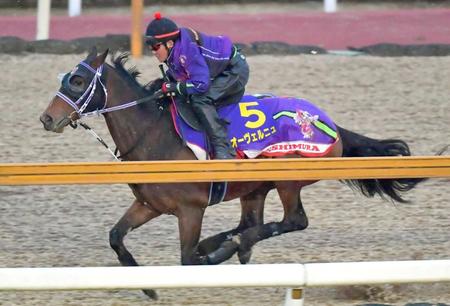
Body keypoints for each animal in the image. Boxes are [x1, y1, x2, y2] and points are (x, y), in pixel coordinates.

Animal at [39, 47, 426, 298]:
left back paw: (230, 247)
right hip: (255, 188)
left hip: (288, 179)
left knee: (292, 221)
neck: (154, 133)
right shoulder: (150, 205)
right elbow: (116, 236)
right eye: (65, 77)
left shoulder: (190, 210)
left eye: (77, 81)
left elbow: (186, 261)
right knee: (251, 223)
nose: (47, 118)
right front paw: (147, 286)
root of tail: (328, 122)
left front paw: (204, 257)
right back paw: (227, 244)